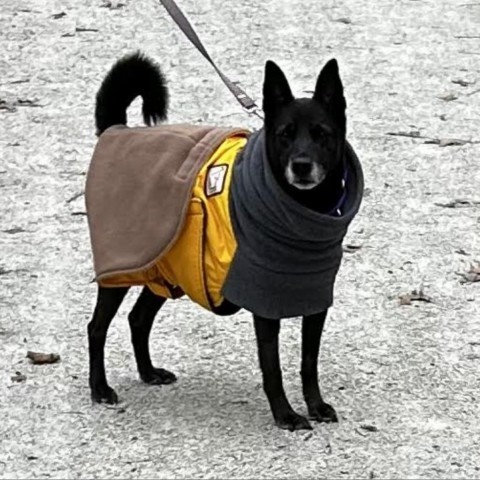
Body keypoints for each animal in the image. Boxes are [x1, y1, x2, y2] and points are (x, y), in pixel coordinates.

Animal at [88, 52, 348, 432]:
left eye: (322, 135)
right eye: (285, 135)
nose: (301, 165)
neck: (303, 211)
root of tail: (116, 131)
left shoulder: (315, 302)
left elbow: (308, 363)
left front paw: (315, 405)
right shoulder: (264, 305)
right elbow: (272, 368)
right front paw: (285, 415)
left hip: (167, 266)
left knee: (138, 318)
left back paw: (148, 373)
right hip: (122, 269)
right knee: (96, 328)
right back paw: (100, 389)